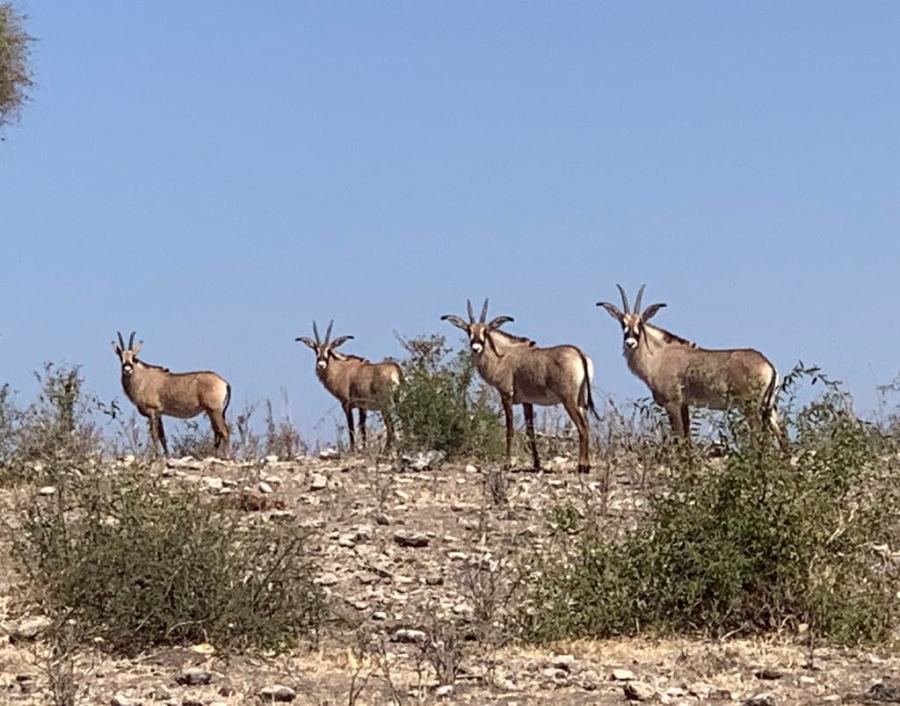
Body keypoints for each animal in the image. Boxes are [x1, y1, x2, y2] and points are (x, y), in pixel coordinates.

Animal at [298, 320, 402, 452]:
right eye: (315, 350)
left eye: (329, 350)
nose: (321, 365)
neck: (342, 369)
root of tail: (395, 369)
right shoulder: (362, 407)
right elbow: (362, 427)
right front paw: (364, 448)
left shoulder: (346, 404)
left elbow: (351, 427)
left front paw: (353, 450)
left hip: (386, 405)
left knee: (391, 427)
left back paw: (386, 450)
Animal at [442, 298, 596, 470]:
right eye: (469, 330)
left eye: (485, 331)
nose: (476, 348)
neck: (502, 356)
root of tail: (579, 354)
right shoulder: (527, 401)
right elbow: (531, 432)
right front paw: (536, 464)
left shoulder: (506, 395)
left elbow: (509, 429)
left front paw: (507, 463)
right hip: (581, 400)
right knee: (586, 425)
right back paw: (586, 465)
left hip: (568, 399)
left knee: (582, 427)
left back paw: (582, 466)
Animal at [600, 284, 784, 440]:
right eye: (622, 323)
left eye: (640, 323)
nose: (630, 343)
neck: (658, 355)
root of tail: (768, 365)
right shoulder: (684, 405)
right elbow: (687, 439)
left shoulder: (672, 403)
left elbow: (680, 438)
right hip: (769, 408)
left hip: (750, 407)